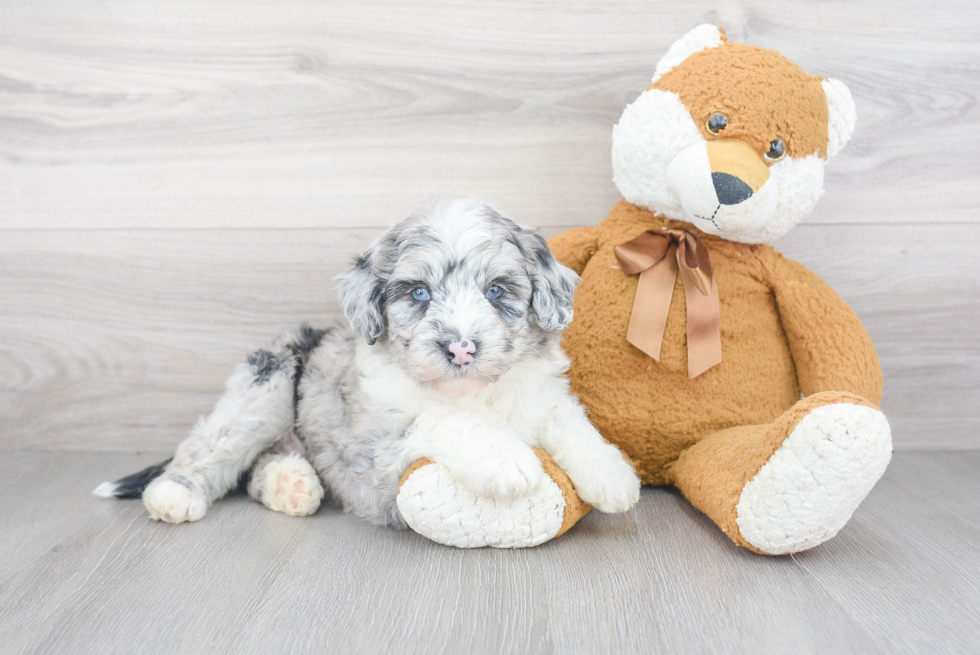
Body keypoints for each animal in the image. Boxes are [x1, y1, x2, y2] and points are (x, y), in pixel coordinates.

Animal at [95, 199, 640, 528]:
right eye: (418, 293)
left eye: (496, 291)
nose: (462, 349)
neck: (472, 393)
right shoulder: (371, 454)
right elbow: (445, 419)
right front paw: (505, 458)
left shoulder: (541, 395)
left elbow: (569, 420)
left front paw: (612, 476)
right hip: (266, 385)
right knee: (211, 446)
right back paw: (174, 494)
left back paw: (290, 484)